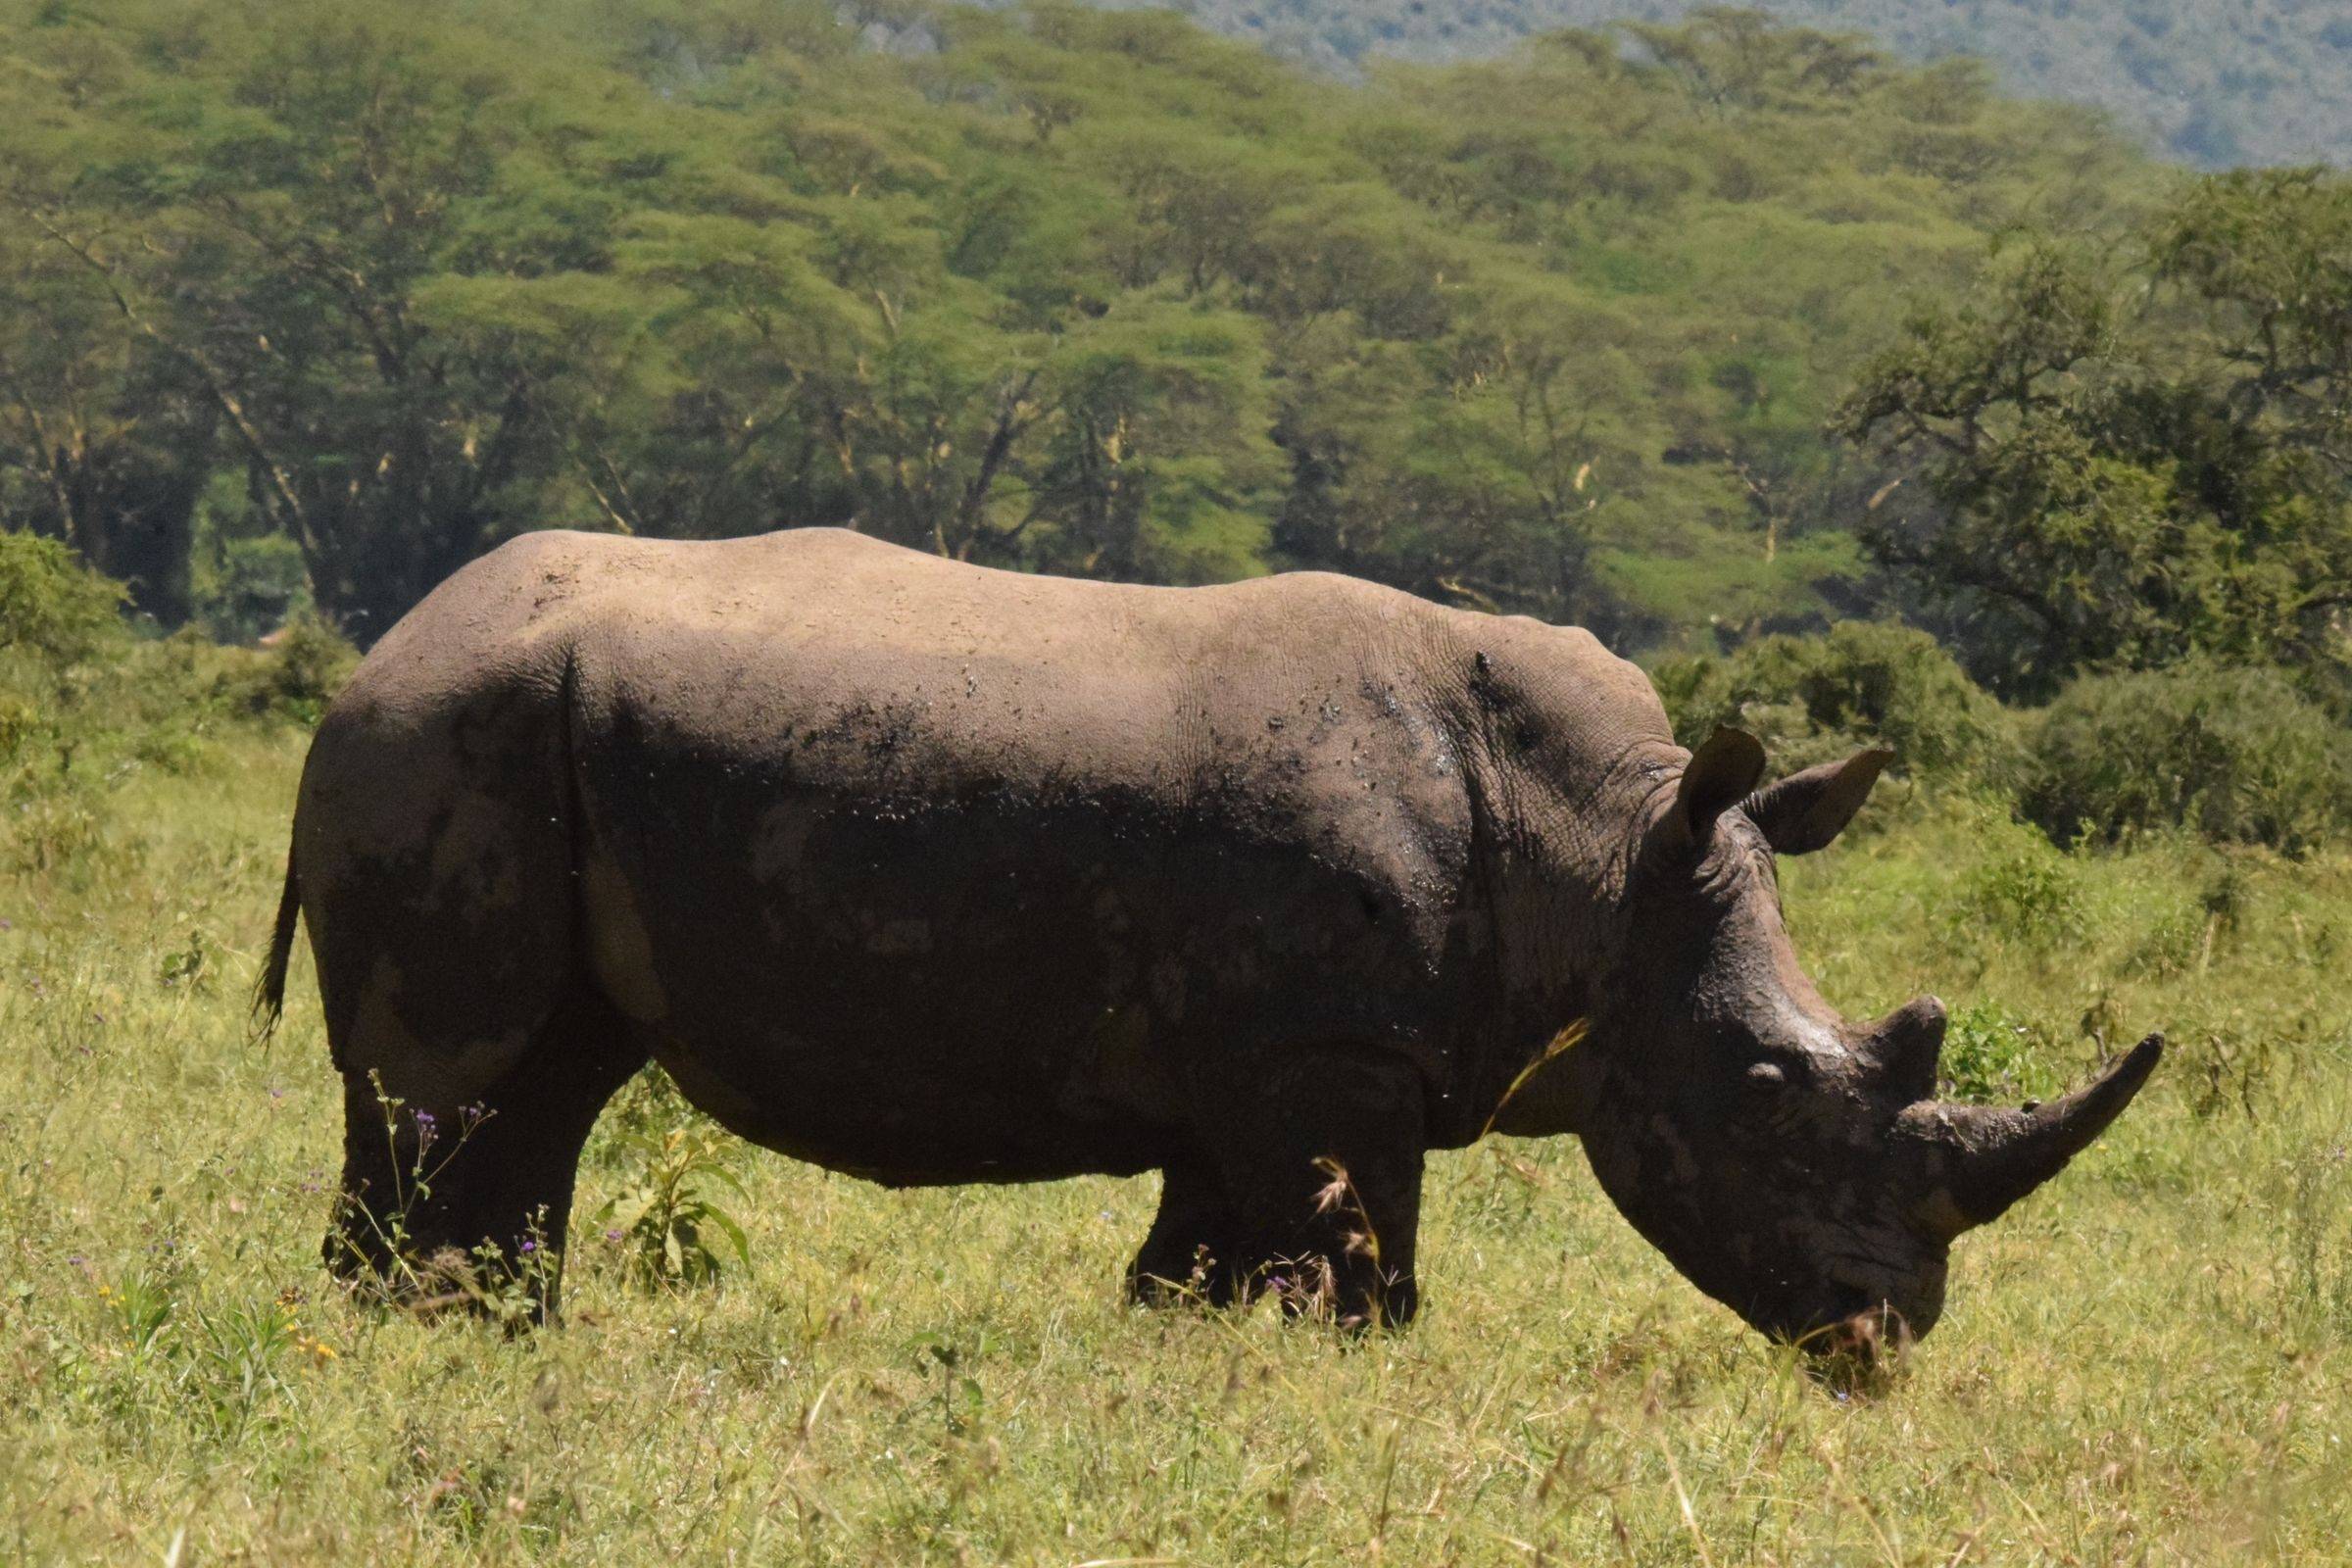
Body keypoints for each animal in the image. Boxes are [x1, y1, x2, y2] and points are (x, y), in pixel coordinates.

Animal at [257, 527, 2160, 1352]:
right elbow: (1361, 1277)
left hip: (511, 741)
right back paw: (403, 1338)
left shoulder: (1255, 1060)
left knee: (550, 1083)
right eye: (1764, 1092)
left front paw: (1183, 1365)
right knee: (450, 1086)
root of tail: (377, 648)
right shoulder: (1327, 1049)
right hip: (448, 739)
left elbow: (1200, 1269)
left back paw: (493, 1336)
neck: (1607, 853)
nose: (1886, 1335)